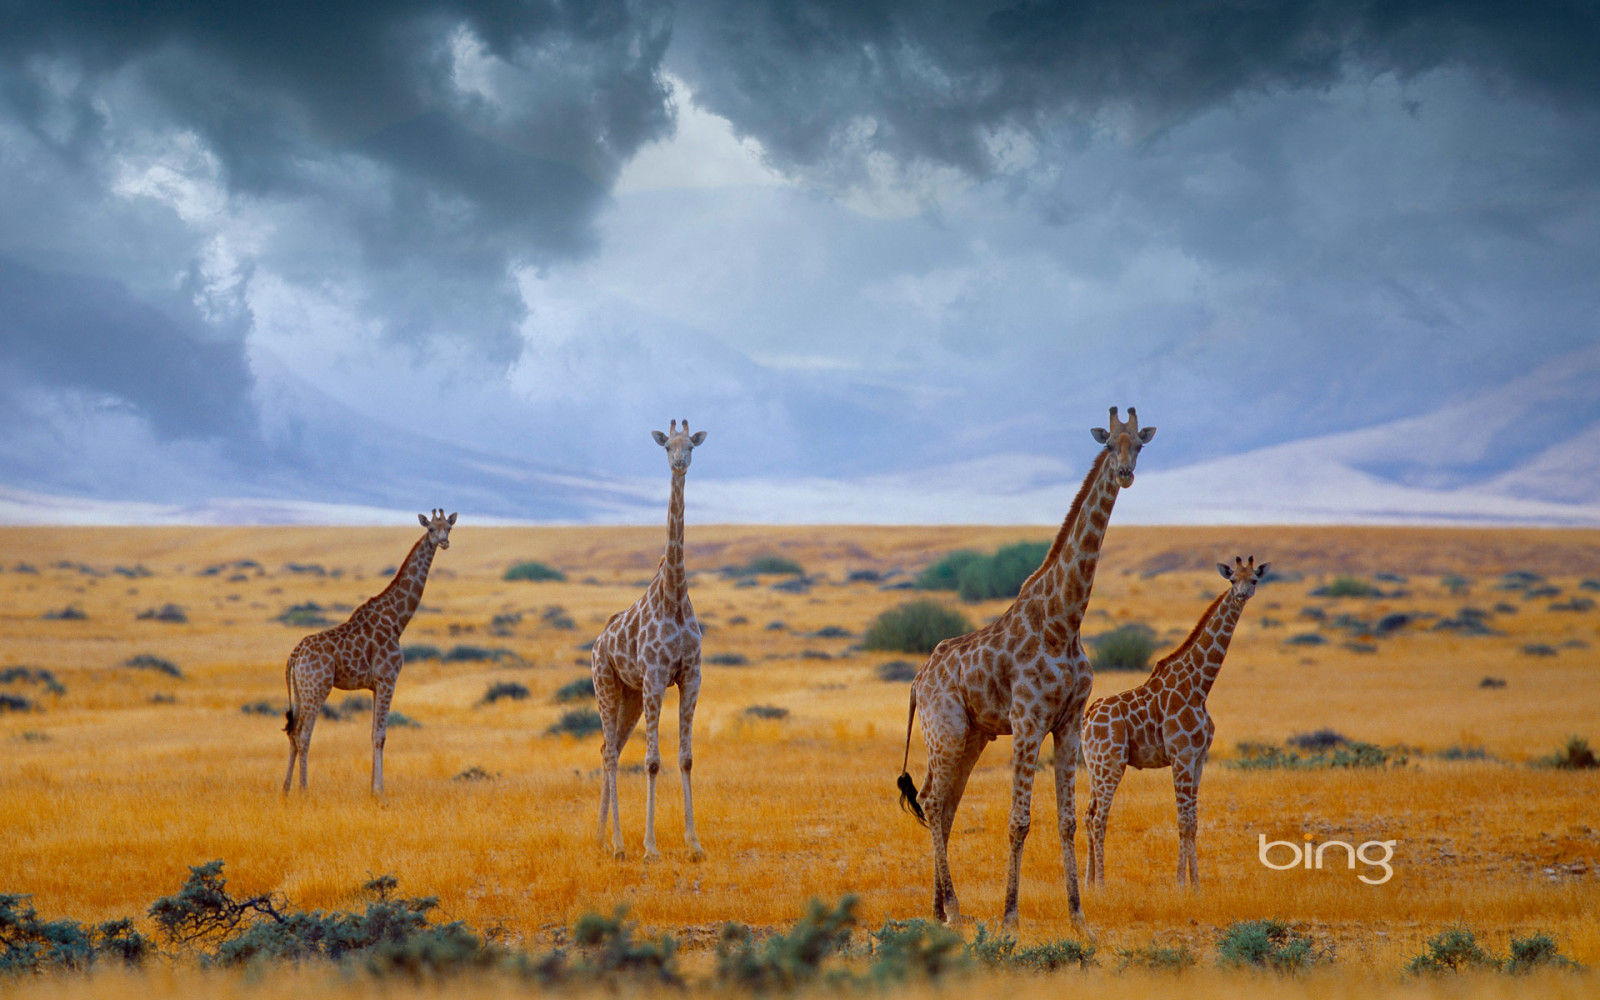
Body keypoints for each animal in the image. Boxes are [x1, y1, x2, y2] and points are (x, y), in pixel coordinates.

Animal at [281, 512, 454, 790]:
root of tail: (293, 657)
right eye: (430, 528)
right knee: (303, 734)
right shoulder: (388, 679)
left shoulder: (374, 685)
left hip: (300, 689)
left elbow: (372, 733)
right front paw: (379, 791)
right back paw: (304, 791)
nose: (445, 541)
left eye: (449, 527)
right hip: (317, 688)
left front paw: (373, 790)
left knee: (293, 732)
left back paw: (286, 790)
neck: (397, 620)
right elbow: (380, 735)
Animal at [595, 416, 707, 864]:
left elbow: (686, 758)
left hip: (629, 696)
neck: (674, 596)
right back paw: (620, 845)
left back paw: (601, 839)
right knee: (611, 754)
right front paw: (651, 848)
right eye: (666, 447)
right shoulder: (657, 678)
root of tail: (597, 644)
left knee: (608, 749)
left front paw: (694, 844)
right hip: (606, 686)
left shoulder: (691, 676)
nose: (679, 463)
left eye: (690, 445)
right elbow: (653, 761)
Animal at [896, 403, 1158, 928]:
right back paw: (956, 910)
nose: (1125, 474)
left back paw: (939, 909)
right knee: (932, 800)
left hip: (972, 736)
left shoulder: (1069, 723)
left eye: (1138, 444)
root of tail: (917, 681)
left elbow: (1068, 820)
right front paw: (1010, 917)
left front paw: (1079, 917)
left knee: (944, 804)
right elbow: (1019, 821)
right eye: (1108, 444)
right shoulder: (1028, 720)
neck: (1064, 620)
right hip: (947, 729)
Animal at [1081, 553, 1267, 889]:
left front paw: (1196, 884)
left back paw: (1088, 883)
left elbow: (1193, 820)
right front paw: (1180, 883)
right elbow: (1182, 821)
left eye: (1255, 579)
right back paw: (1101, 885)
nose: (1243, 593)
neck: (1199, 686)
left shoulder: (1198, 758)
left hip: (1094, 765)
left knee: (1089, 814)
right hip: (1110, 763)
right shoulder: (1180, 756)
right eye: (1233, 579)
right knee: (1099, 817)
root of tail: (1087, 718)